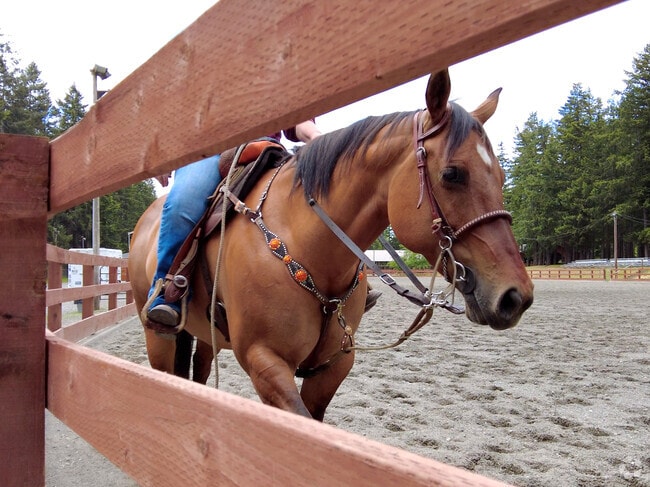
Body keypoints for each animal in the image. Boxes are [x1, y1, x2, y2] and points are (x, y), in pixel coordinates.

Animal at [129, 69, 534, 421]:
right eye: (452, 174)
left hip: (205, 336)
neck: (306, 245)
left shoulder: (332, 366)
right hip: (158, 336)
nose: (515, 296)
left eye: (501, 176)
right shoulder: (264, 359)